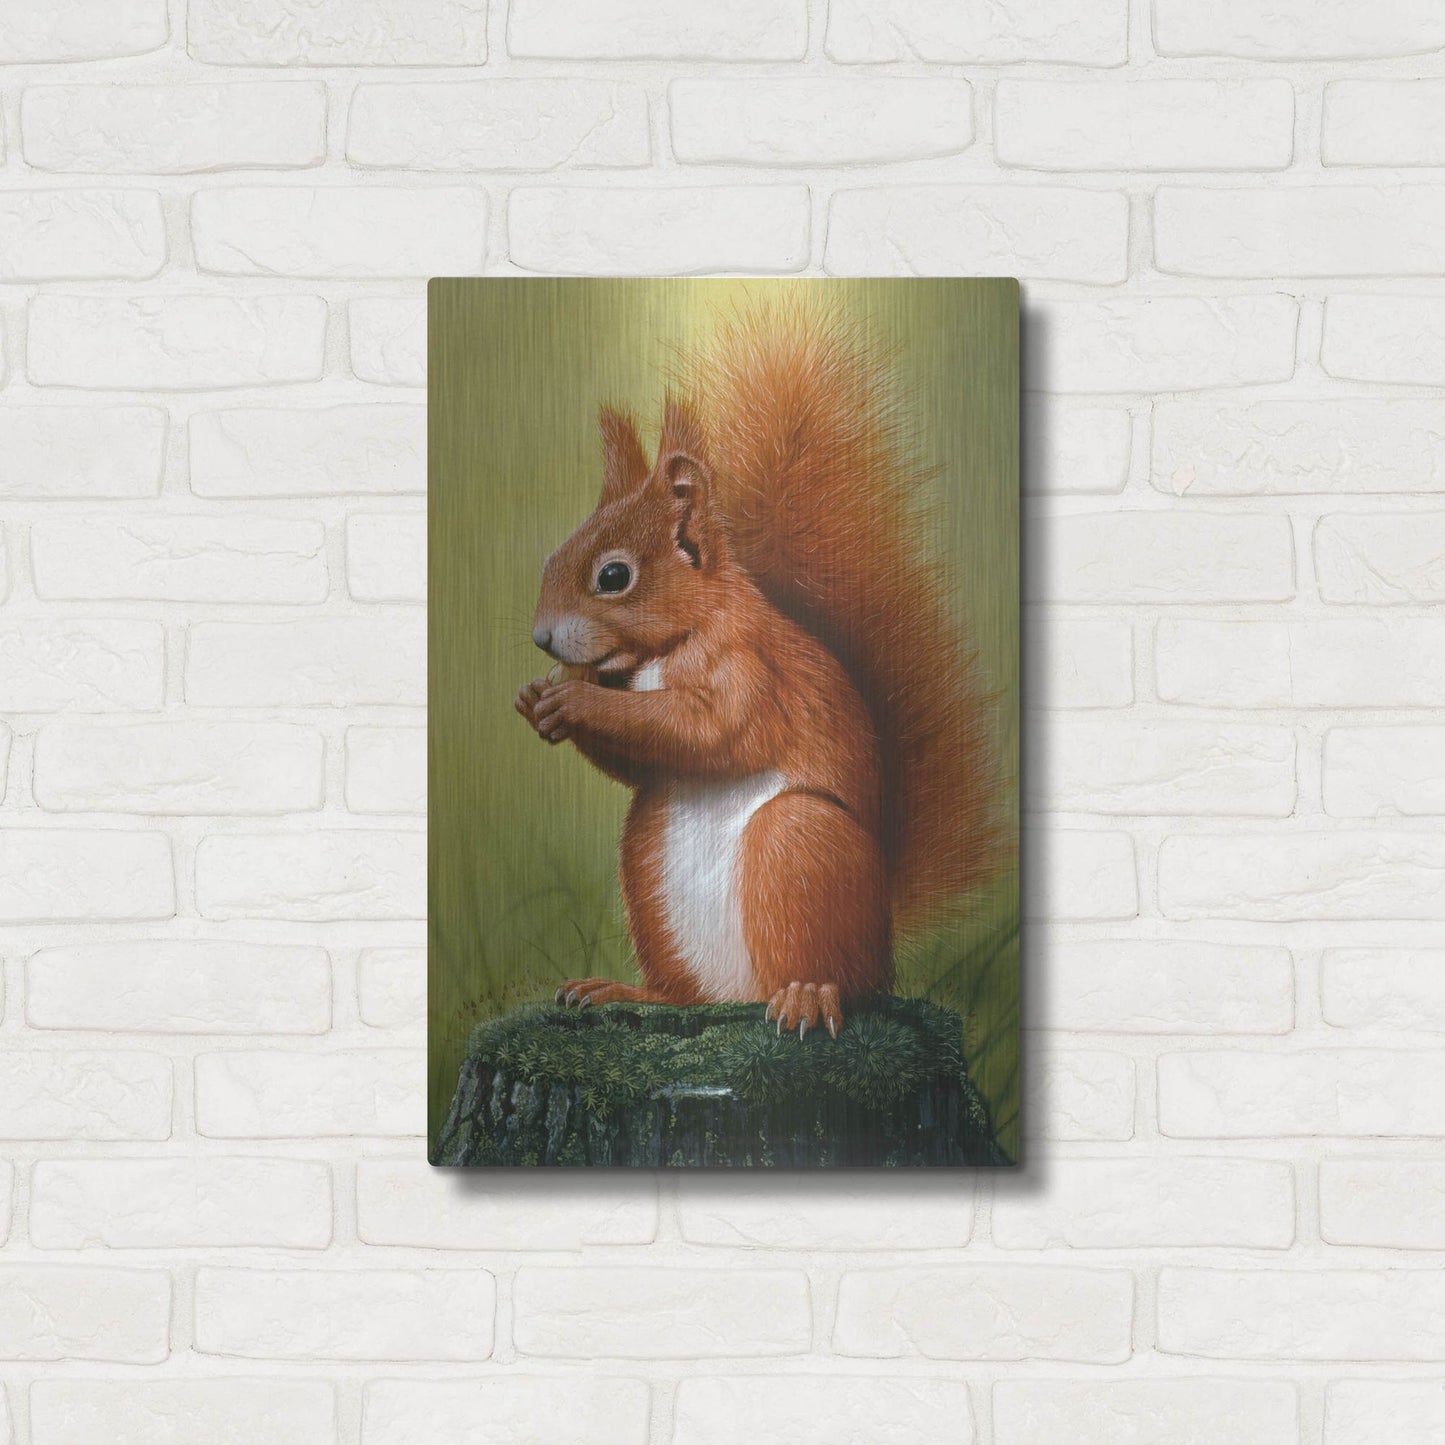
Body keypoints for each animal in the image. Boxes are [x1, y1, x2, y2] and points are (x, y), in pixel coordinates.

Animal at [516, 300, 1000, 1039]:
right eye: (552, 556)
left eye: (614, 576)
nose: (541, 639)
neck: (667, 648)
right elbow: (639, 761)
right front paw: (538, 702)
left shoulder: (750, 669)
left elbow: (713, 730)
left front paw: (575, 701)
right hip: (646, 864)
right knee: (687, 994)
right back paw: (628, 991)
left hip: (797, 847)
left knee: (836, 976)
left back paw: (807, 995)